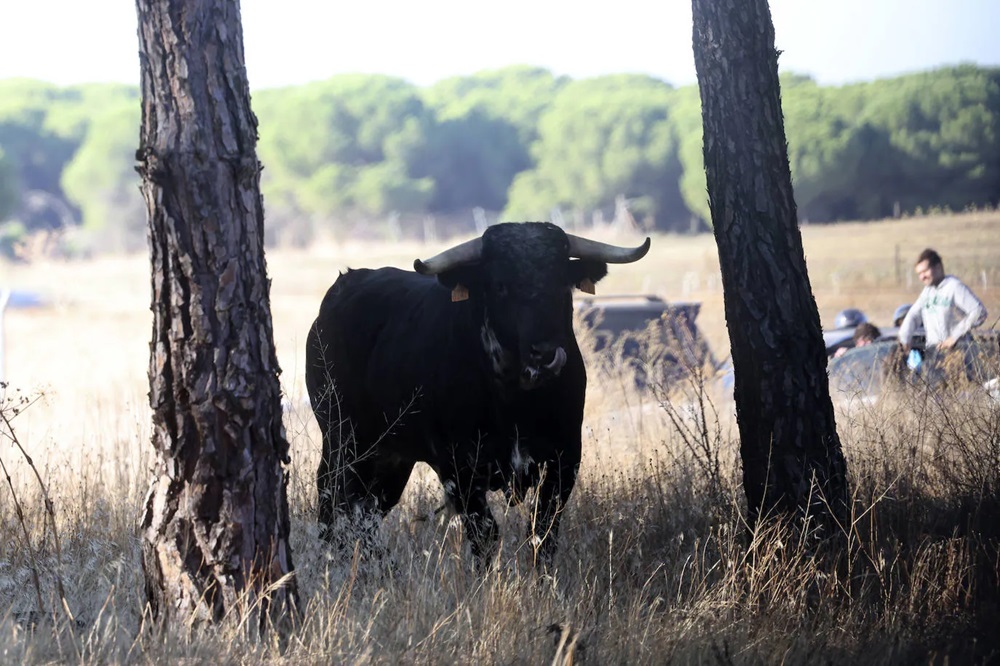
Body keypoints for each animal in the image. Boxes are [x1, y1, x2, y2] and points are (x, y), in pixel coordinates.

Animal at [304, 222, 648, 560]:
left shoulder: (564, 460)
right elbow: (485, 535)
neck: (517, 400)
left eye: (562, 282)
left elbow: (543, 532)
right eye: (500, 285)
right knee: (335, 504)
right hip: (344, 442)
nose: (545, 353)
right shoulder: (461, 469)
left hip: (391, 457)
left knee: (368, 513)